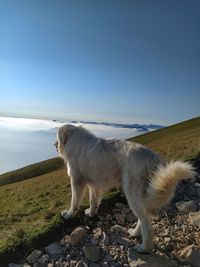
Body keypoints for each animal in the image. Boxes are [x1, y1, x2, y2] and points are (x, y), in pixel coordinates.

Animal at [55, 124, 195, 254]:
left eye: (57, 137)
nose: (54, 145)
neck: (75, 138)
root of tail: (152, 158)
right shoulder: (93, 184)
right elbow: (93, 200)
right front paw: (91, 213)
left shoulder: (77, 181)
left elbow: (74, 201)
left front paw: (68, 215)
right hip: (140, 196)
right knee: (143, 218)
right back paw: (135, 233)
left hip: (132, 193)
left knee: (148, 226)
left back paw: (143, 248)